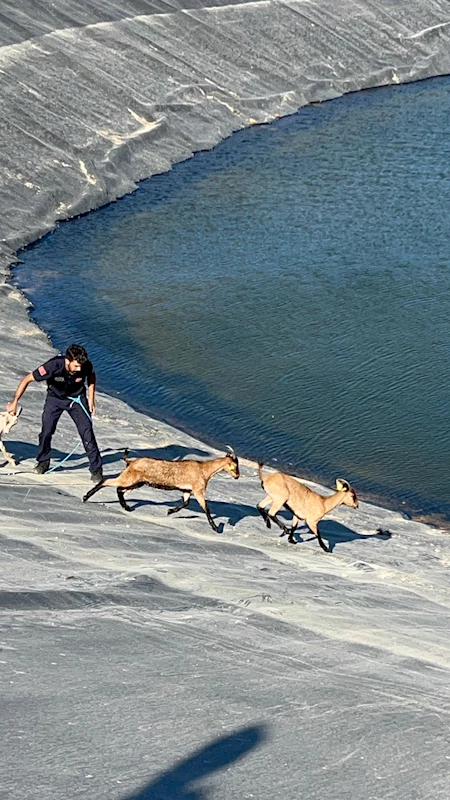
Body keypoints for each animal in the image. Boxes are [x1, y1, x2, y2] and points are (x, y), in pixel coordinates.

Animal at [83, 446, 241, 536]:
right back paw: (86, 497)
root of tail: (131, 462)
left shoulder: (187, 490)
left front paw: (170, 511)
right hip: (130, 478)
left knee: (120, 489)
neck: (204, 470)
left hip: (137, 482)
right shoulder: (198, 490)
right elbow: (206, 508)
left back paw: (126, 507)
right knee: (108, 482)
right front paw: (216, 528)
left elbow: (185, 503)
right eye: (234, 466)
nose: (237, 476)